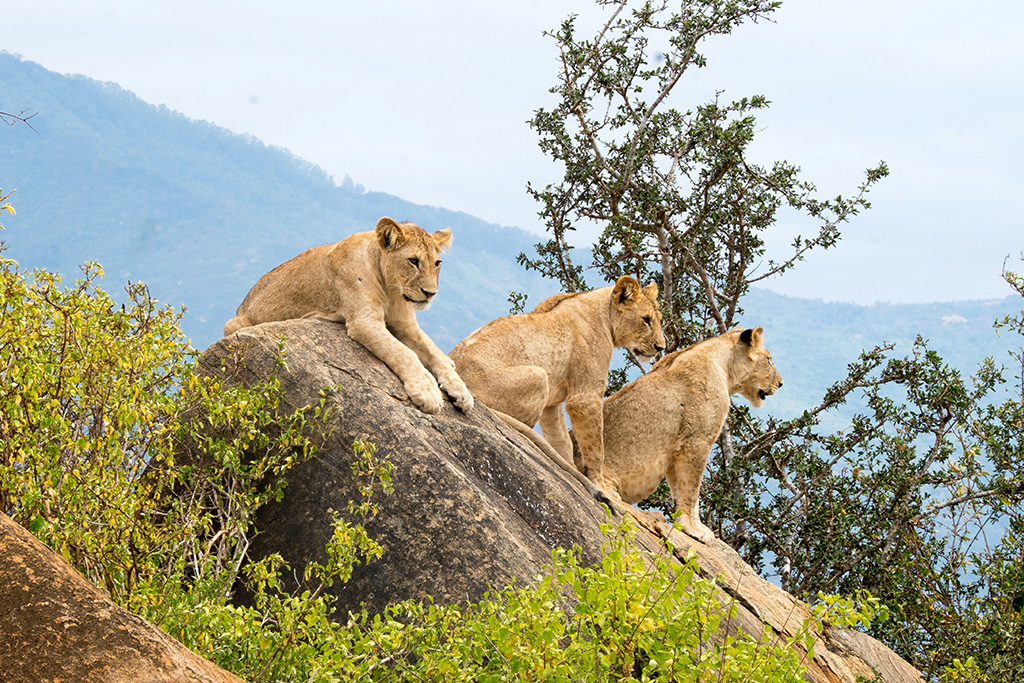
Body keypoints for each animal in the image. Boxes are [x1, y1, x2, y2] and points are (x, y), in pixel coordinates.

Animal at [223, 217, 473, 415]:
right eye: (413, 261)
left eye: (437, 263)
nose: (430, 293)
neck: (391, 289)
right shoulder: (363, 320)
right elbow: (404, 353)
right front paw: (427, 391)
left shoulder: (405, 325)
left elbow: (433, 352)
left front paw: (461, 391)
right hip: (234, 324)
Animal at [449, 276, 665, 492]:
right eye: (646, 319)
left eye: (659, 320)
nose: (660, 347)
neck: (604, 313)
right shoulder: (584, 398)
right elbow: (596, 447)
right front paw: (599, 484)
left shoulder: (552, 404)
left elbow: (561, 439)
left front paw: (572, 470)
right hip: (539, 376)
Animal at [597, 326, 782, 543]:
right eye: (769, 359)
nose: (781, 383)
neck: (725, 368)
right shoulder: (695, 441)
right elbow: (692, 489)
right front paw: (694, 529)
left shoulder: (676, 448)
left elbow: (680, 489)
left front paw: (687, 524)